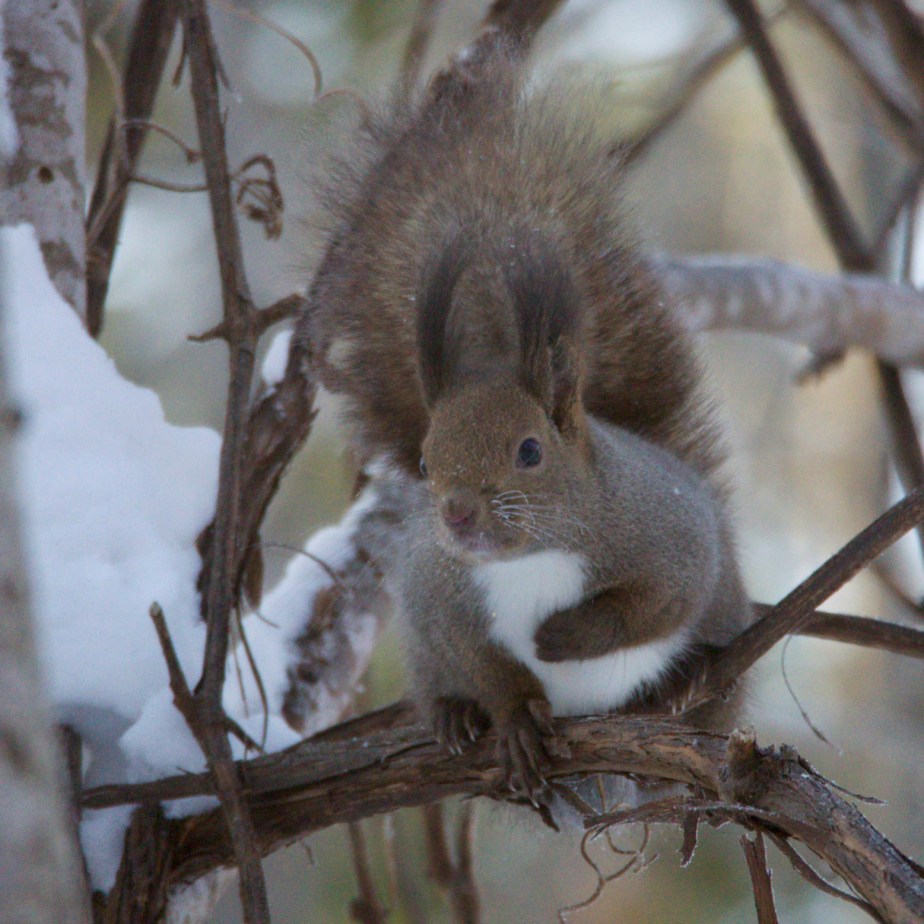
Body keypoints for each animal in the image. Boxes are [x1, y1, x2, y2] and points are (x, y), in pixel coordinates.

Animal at [299, 54, 751, 800]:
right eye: (424, 463)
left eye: (531, 451)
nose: (456, 514)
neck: (529, 559)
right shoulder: (442, 600)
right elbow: (486, 666)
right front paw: (511, 720)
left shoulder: (672, 540)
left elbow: (653, 605)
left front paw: (562, 639)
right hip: (424, 650)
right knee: (443, 679)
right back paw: (453, 717)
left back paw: (680, 687)